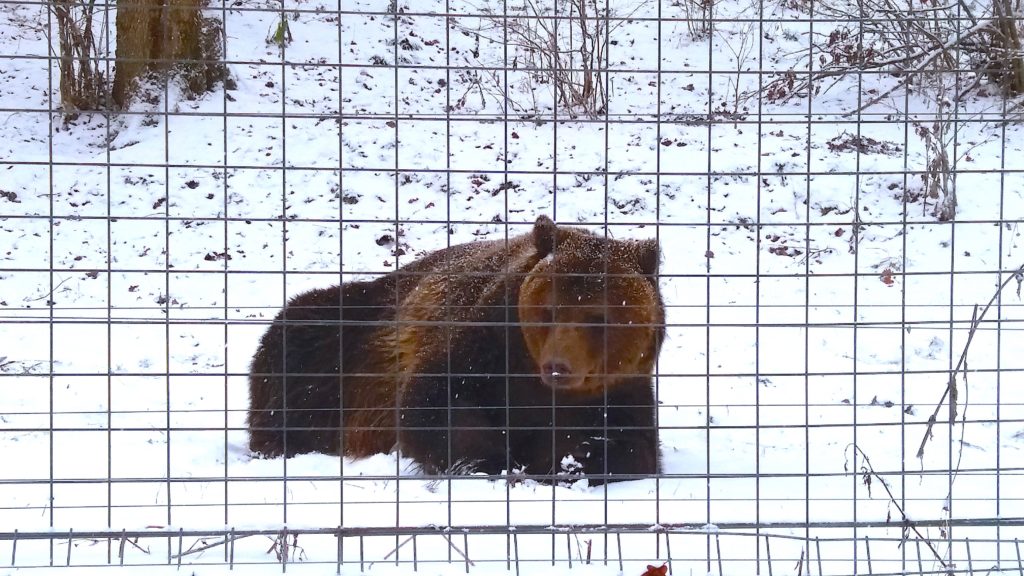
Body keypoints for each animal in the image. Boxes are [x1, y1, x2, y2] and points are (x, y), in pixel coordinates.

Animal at [247, 214, 663, 479]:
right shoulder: (483, 342)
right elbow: (435, 402)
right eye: (550, 309)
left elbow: (633, 447)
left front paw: (571, 458)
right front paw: (490, 461)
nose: (558, 366)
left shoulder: (619, 387)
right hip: (347, 335)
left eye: (599, 317)